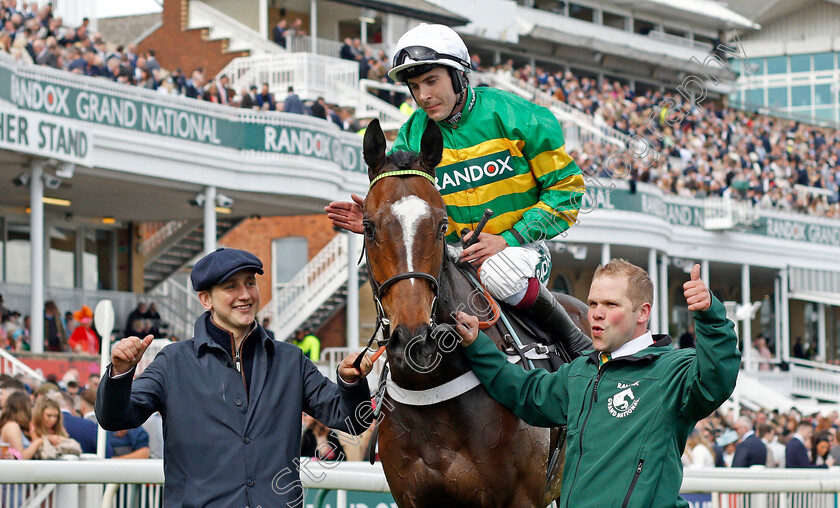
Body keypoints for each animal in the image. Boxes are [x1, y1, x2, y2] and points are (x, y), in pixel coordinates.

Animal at [362, 120, 592, 508]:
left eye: (442, 225)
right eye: (367, 226)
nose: (415, 342)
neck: (432, 390)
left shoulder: (521, 498)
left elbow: (562, 183)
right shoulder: (411, 496)